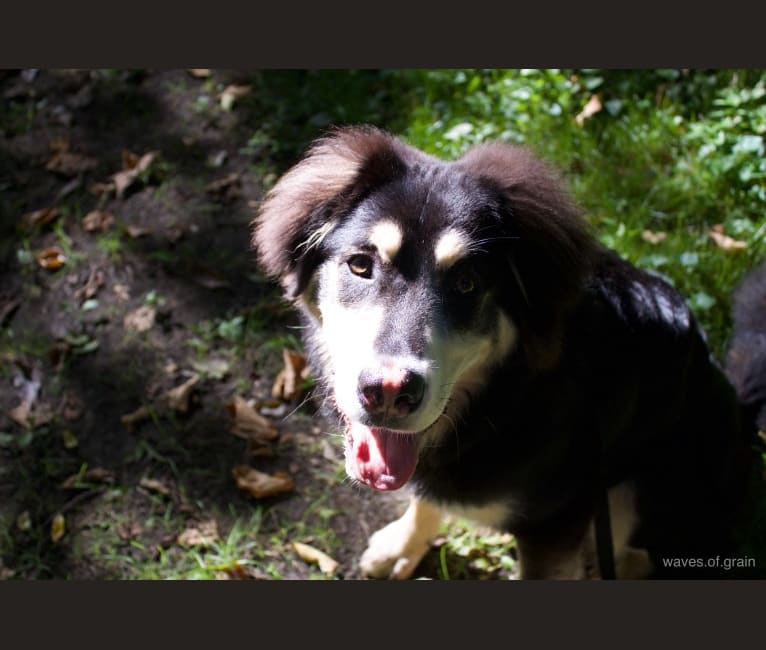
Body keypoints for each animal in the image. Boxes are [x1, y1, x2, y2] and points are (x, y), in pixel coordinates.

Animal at [254, 125, 760, 576]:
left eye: (466, 283)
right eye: (360, 265)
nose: (389, 392)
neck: (503, 399)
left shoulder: (558, 521)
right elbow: (425, 495)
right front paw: (403, 546)